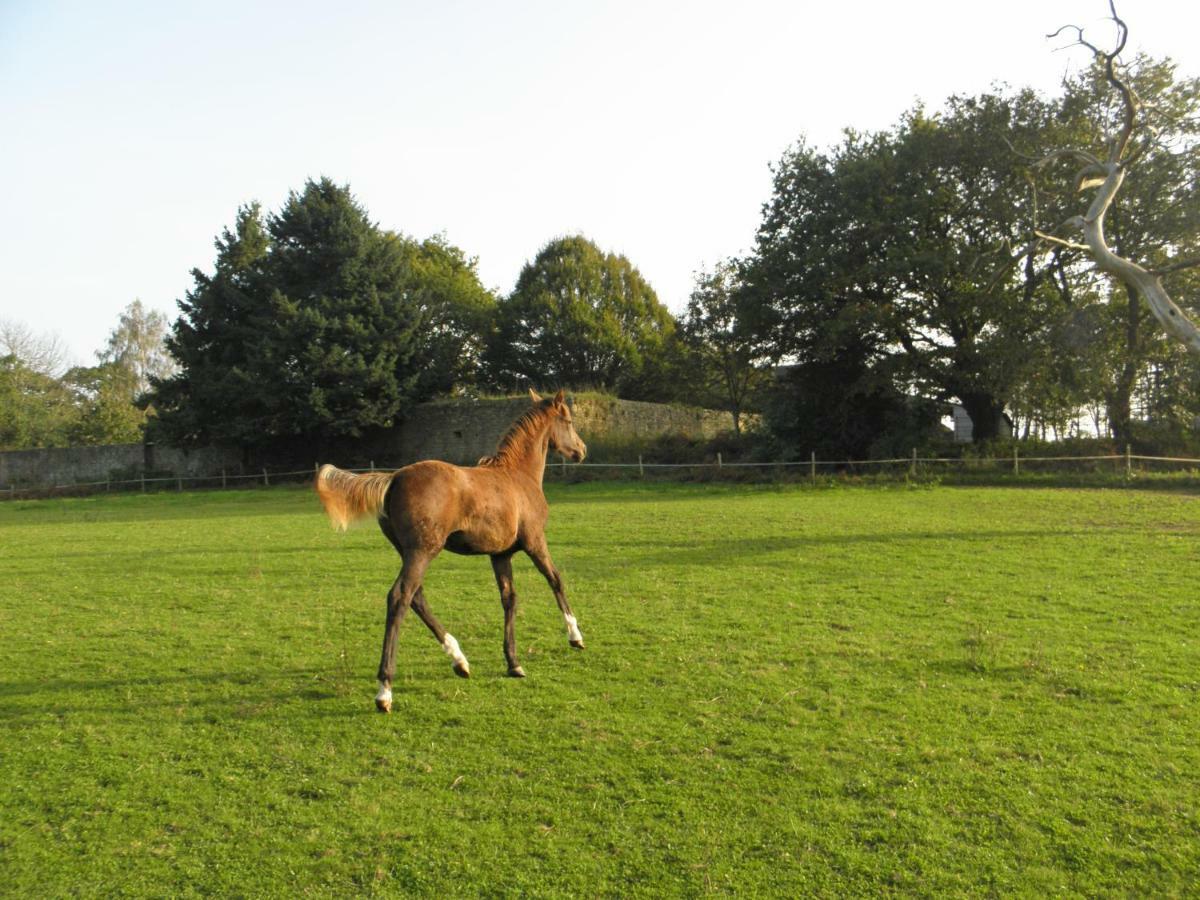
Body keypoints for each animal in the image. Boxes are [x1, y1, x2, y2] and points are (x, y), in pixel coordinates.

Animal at [314, 391, 585, 715]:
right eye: (568, 420)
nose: (581, 450)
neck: (519, 475)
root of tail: (394, 479)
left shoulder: (500, 554)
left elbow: (509, 599)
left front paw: (514, 663)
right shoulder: (534, 542)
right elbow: (556, 580)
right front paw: (575, 636)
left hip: (409, 551)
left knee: (417, 597)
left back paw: (460, 661)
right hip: (423, 551)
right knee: (400, 596)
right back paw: (385, 691)